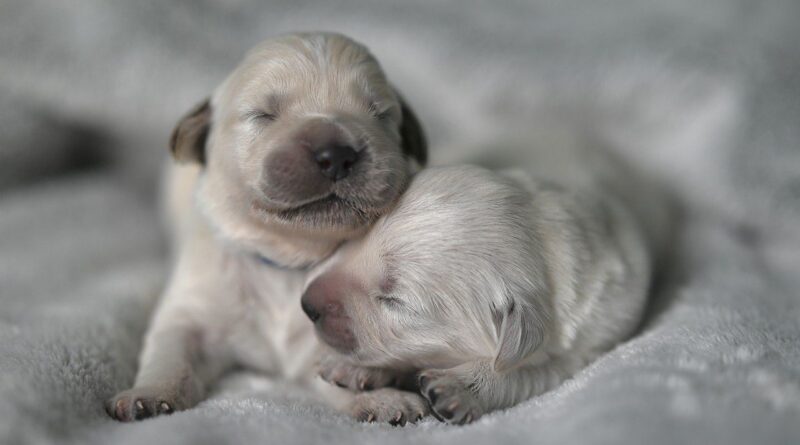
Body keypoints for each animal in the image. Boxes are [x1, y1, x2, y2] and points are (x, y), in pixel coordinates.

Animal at [110, 33, 432, 422]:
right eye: (263, 115)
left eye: (380, 114)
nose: (336, 154)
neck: (286, 261)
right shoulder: (192, 309)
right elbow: (171, 353)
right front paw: (149, 395)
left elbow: (338, 368)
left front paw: (381, 397)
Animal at [304, 134, 672, 424]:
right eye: (363, 236)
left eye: (395, 301)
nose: (306, 304)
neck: (544, 239)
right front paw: (352, 368)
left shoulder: (588, 344)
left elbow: (526, 374)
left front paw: (461, 387)